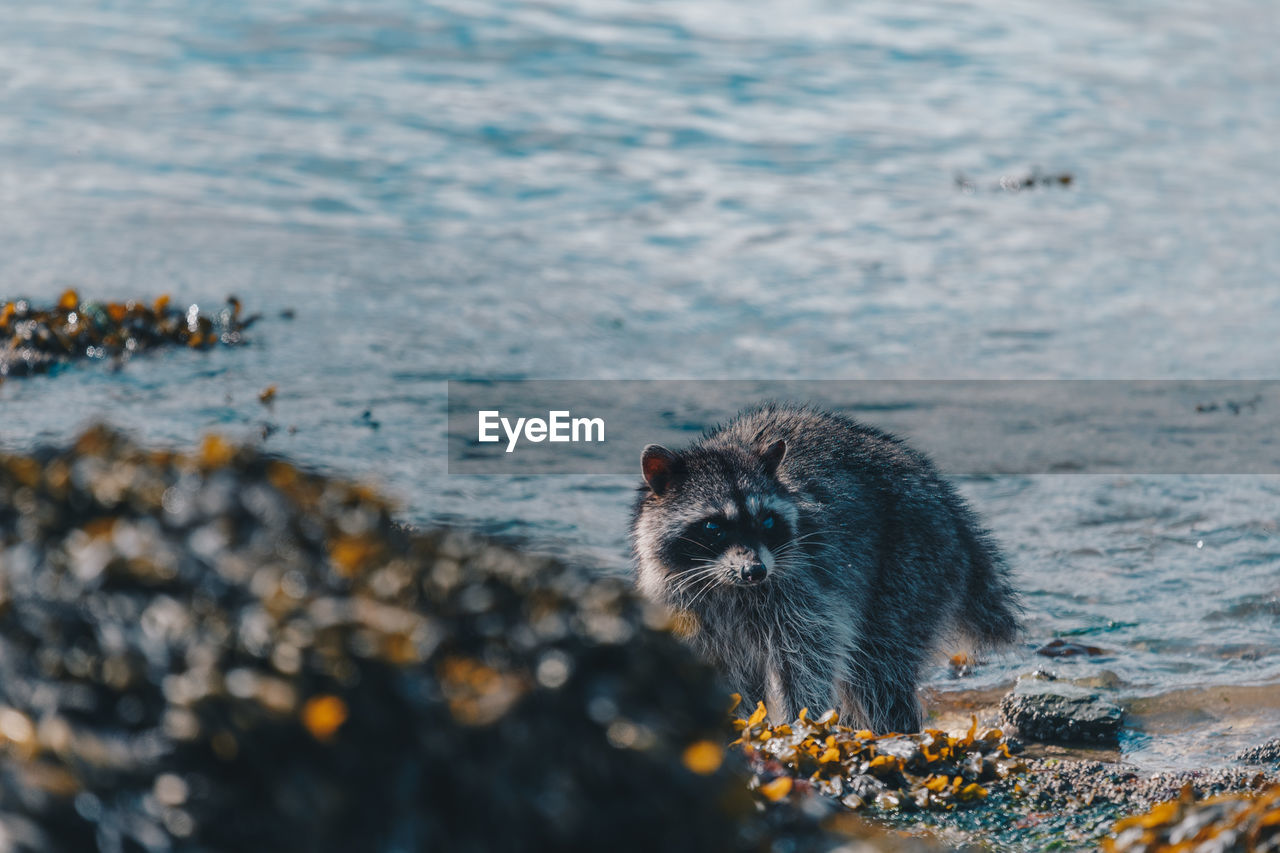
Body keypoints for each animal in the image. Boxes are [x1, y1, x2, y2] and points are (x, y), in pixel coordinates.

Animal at [629, 402, 1018, 727]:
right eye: (713, 527)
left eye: (766, 520)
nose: (755, 571)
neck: (727, 585)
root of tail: (951, 507)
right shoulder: (685, 605)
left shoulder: (802, 586)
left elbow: (809, 656)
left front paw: (801, 722)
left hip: (911, 564)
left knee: (877, 670)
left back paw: (892, 730)